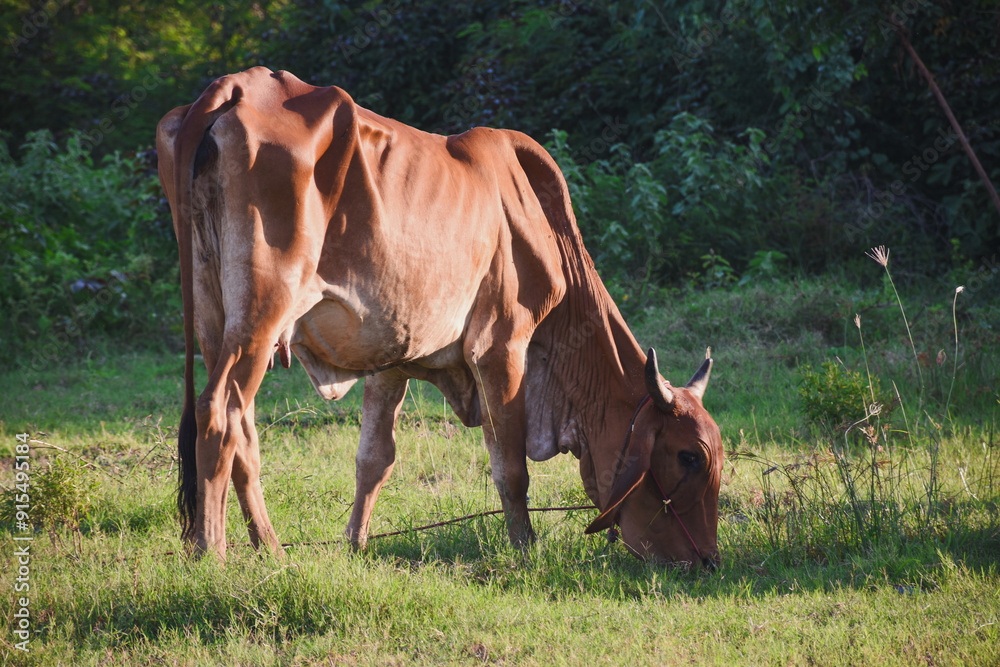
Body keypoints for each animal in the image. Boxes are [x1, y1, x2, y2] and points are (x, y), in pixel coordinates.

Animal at [156, 67, 723, 568]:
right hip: (263, 311)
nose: (708, 562)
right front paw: (526, 550)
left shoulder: (392, 359)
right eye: (688, 456)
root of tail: (235, 87)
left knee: (243, 428)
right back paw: (211, 553)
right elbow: (511, 467)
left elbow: (374, 459)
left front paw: (356, 545)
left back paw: (270, 549)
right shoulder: (501, 346)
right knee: (218, 413)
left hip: (215, 317)